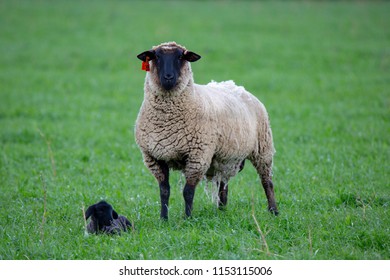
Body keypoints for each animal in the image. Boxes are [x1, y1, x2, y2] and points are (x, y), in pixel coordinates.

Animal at [136, 42, 278, 221]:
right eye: (156, 56)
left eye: (181, 56)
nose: (168, 77)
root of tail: (236, 86)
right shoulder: (154, 157)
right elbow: (164, 191)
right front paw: (163, 219)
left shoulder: (197, 156)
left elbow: (188, 192)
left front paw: (188, 219)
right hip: (225, 157)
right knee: (224, 183)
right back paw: (222, 209)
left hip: (263, 148)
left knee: (267, 181)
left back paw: (274, 211)